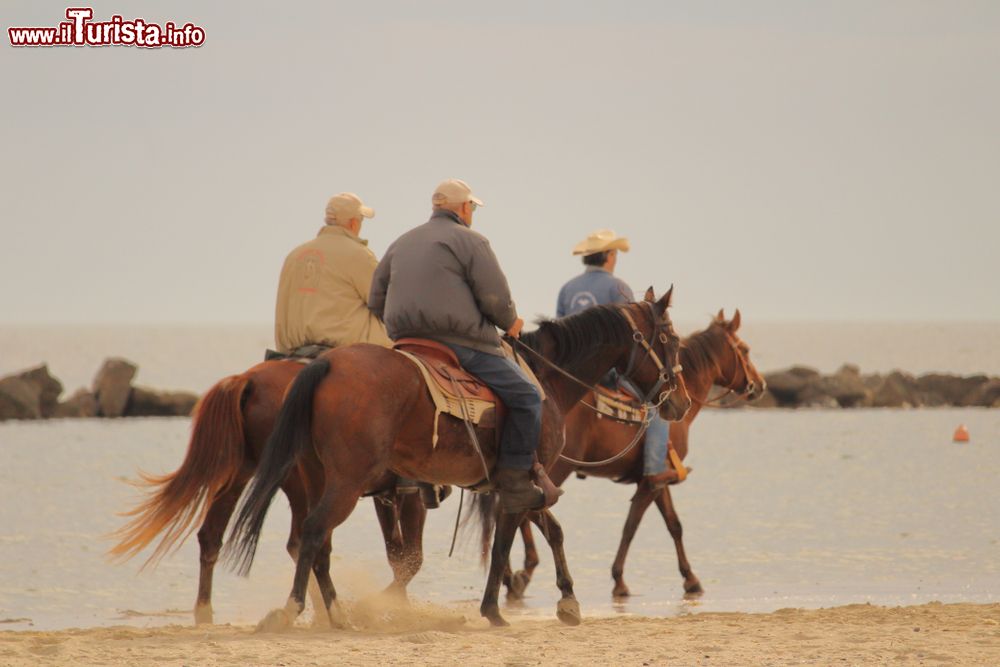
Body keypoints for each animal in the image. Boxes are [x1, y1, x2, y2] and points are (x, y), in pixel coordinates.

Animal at [110, 360, 430, 628]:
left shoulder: (386, 495)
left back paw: (206, 612)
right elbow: (410, 559)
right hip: (299, 481)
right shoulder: (411, 494)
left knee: (212, 536)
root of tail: (247, 380)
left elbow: (398, 555)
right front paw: (388, 608)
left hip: (241, 472)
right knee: (303, 539)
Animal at [223, 290, 692, 628]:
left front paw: (568, 601)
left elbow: (552, 533)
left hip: (319, 476)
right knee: (315, 533)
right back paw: (297, 609)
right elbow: (504, 545)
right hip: (346, 483)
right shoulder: (521, 485)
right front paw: (495, 611)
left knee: (316, 540)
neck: (547, 380)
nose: (681, 401)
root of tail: (328, 365)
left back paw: (337, 613)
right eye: (669, 339)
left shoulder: (526, 485)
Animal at [500, 310, 764, 604]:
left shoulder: (658, 480)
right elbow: (632, 526)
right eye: (745, 349)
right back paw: (522, 574)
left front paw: (690, 578)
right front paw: (620, 580)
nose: (759, 385)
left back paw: (512, 576)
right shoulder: (652, 481)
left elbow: (674, 525)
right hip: (553, 471)